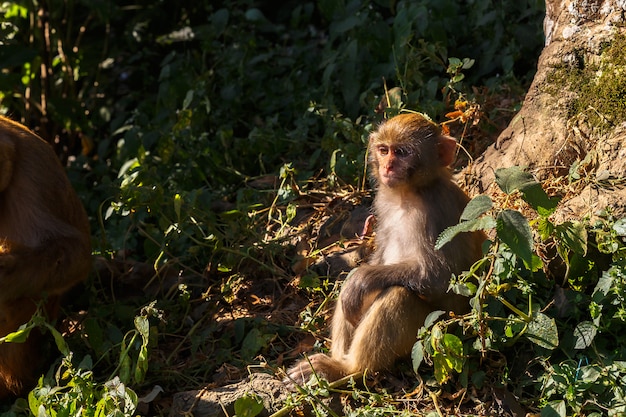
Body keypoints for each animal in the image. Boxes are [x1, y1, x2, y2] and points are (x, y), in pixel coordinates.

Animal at [286, 112, 482, 386]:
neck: (407, 195)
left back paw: (347, 369)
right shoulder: (383, 204)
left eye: (402, 152)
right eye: (383, 150)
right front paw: (353, 279)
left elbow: (444, 278)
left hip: (435, 330)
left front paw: (360, 281)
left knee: (398, 294)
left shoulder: (437, 213)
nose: (387, 166)